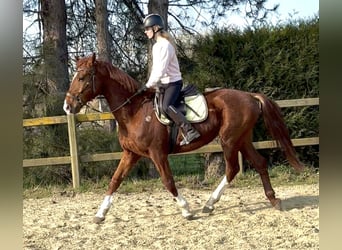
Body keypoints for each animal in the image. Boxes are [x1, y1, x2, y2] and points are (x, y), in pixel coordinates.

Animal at [62, 53, 304, 224]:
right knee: (260, 163)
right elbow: (115, 180)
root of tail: (249, 96)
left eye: (82, 78)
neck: (134, 112)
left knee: (232, 169)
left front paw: (187, 210)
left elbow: (168, 182)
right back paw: (273, 199)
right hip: (242, 139)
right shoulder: (131, 154)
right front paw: (100, 214)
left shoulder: (157, 154)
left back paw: (209, 204)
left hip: (229, 140)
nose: (67, 106)